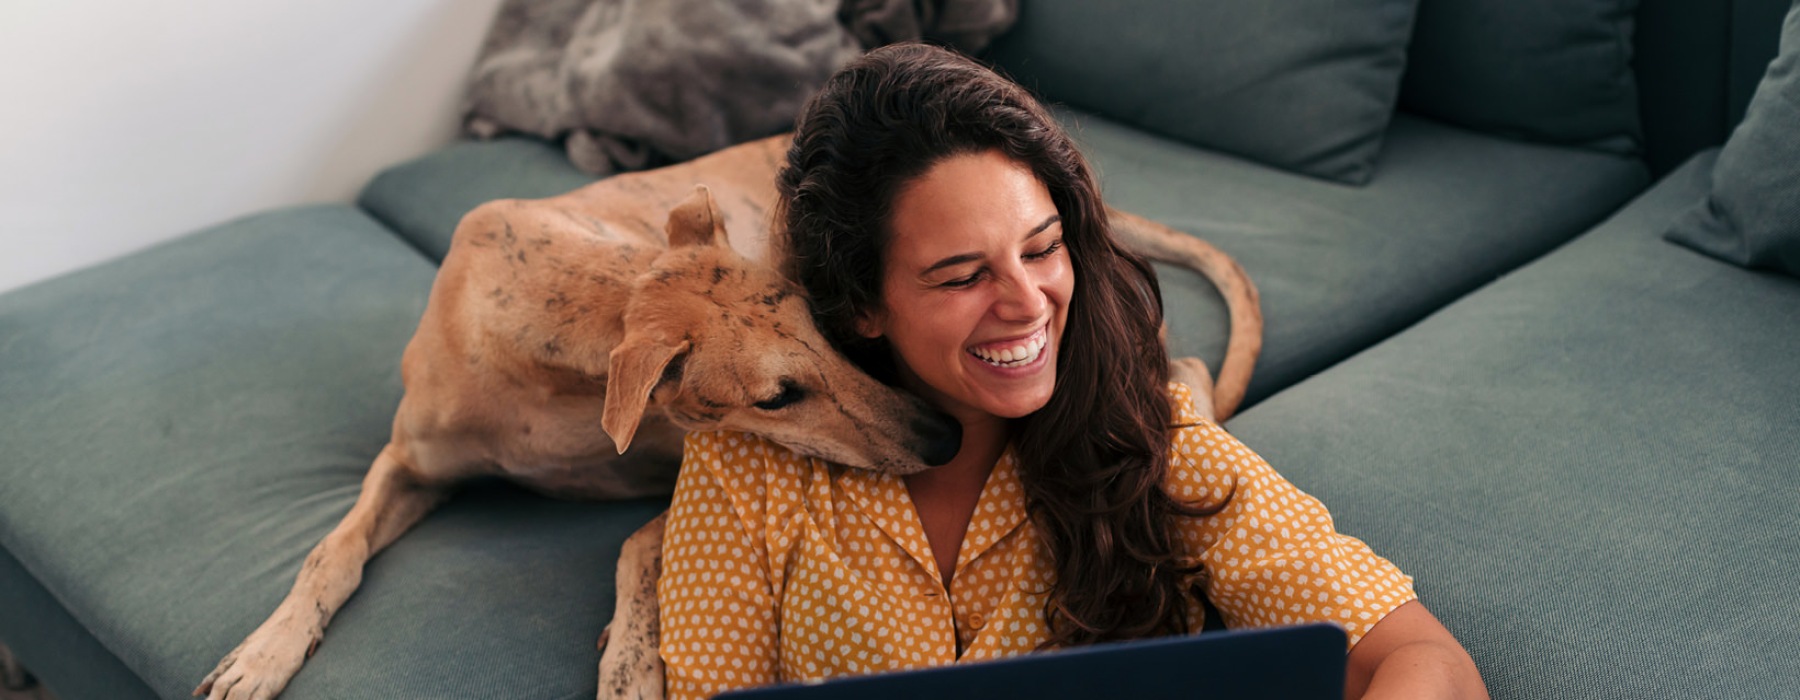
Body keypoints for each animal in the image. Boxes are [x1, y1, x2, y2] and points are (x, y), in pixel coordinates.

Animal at [197, 132, 1260, 698]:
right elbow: (329, 551)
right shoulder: (407, 462)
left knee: (1185, 363)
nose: (944, 440)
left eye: (838, 331)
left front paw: (630, 659)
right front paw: (260, 654)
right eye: (777, 394)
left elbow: (636, 544)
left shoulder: (683, 466)